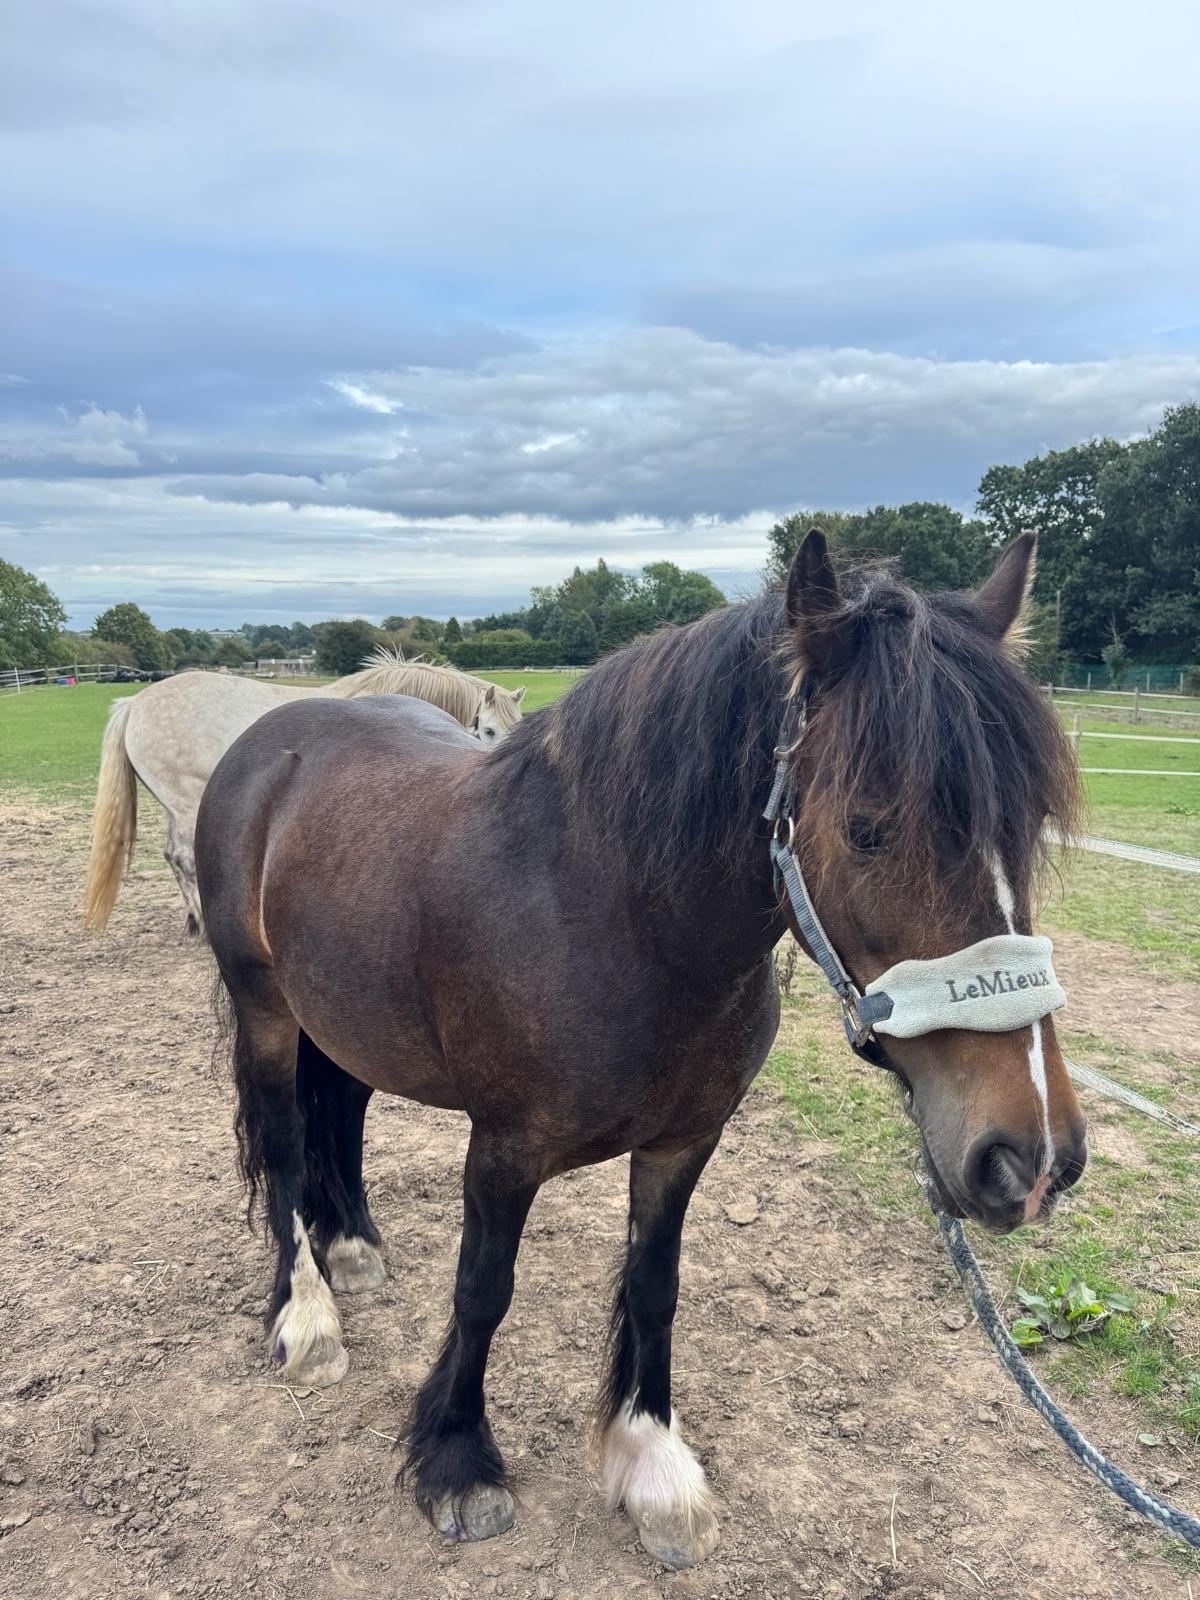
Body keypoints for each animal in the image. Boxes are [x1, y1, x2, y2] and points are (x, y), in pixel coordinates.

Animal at [82, 650, 525, 936]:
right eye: (488, 730)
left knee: (174, 857)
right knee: (186, 858)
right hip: (188, 804)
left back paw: (194, 922)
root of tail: (135, 703)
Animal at [195, 532, 1086, 1570]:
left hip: (345, 1017)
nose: (1032, 1158)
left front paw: (652, 1467)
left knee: (338, 1110)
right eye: (868, 829)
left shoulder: (683, 1143)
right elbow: (482, 1291)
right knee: (285, 1140)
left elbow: (656, 1287)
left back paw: (353, 1253)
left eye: (1027, 825)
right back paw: (305, 1317)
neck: (610, 915)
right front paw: (458, 1461)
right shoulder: (502, 1153)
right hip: (265, 1008)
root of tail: (272, 737)